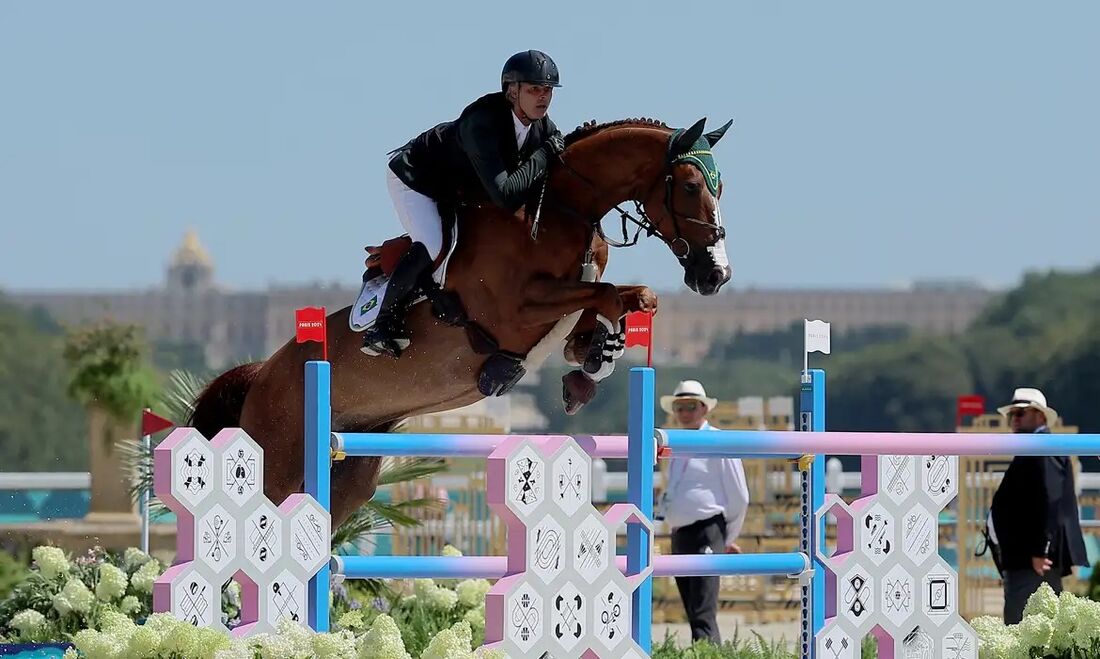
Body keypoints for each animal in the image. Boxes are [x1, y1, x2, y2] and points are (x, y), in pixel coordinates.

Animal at [187, 116, 739, 528]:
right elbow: (619, 294)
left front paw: (589, 370)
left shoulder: (561, 315)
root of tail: (261, 374)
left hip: (350, 474)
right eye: (690, 186)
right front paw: (578, 369)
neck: (561, 210)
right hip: (278, 464)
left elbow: (621, 303)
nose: (715, 274)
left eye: (720, 187)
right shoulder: (514, 312)